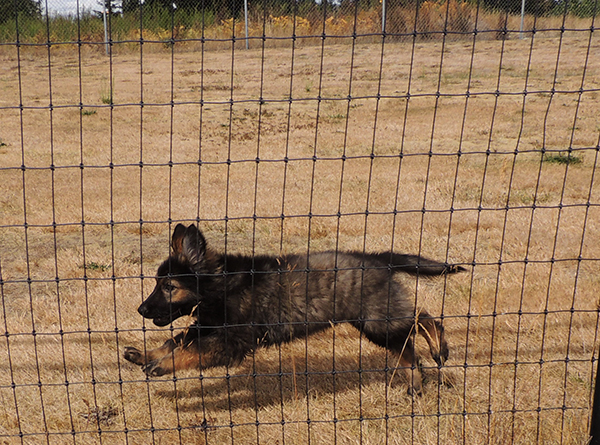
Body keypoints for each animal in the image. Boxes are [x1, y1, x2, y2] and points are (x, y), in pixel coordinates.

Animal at [124, 224, 466, 394]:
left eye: (169, 287)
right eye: (157, 283)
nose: (141, 309)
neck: (218, 285)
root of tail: (378, 258)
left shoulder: (231, 341)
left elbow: (189, 351)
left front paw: (161, 366)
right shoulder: (208, 326)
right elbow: (174, 341)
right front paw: (144, 355)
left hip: (378, 319)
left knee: (424, 319)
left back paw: (439, 347)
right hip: (377, 323)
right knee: (409, 351)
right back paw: (415, 386)